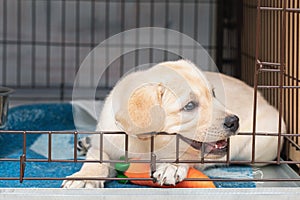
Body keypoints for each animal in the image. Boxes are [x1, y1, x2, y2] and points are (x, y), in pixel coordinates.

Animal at [62, 59, 284, 188]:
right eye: (190, 105)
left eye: (213, 94)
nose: (234, 121)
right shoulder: (106, 144)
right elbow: (96, 161)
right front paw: (84, 178)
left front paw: (172, 166)